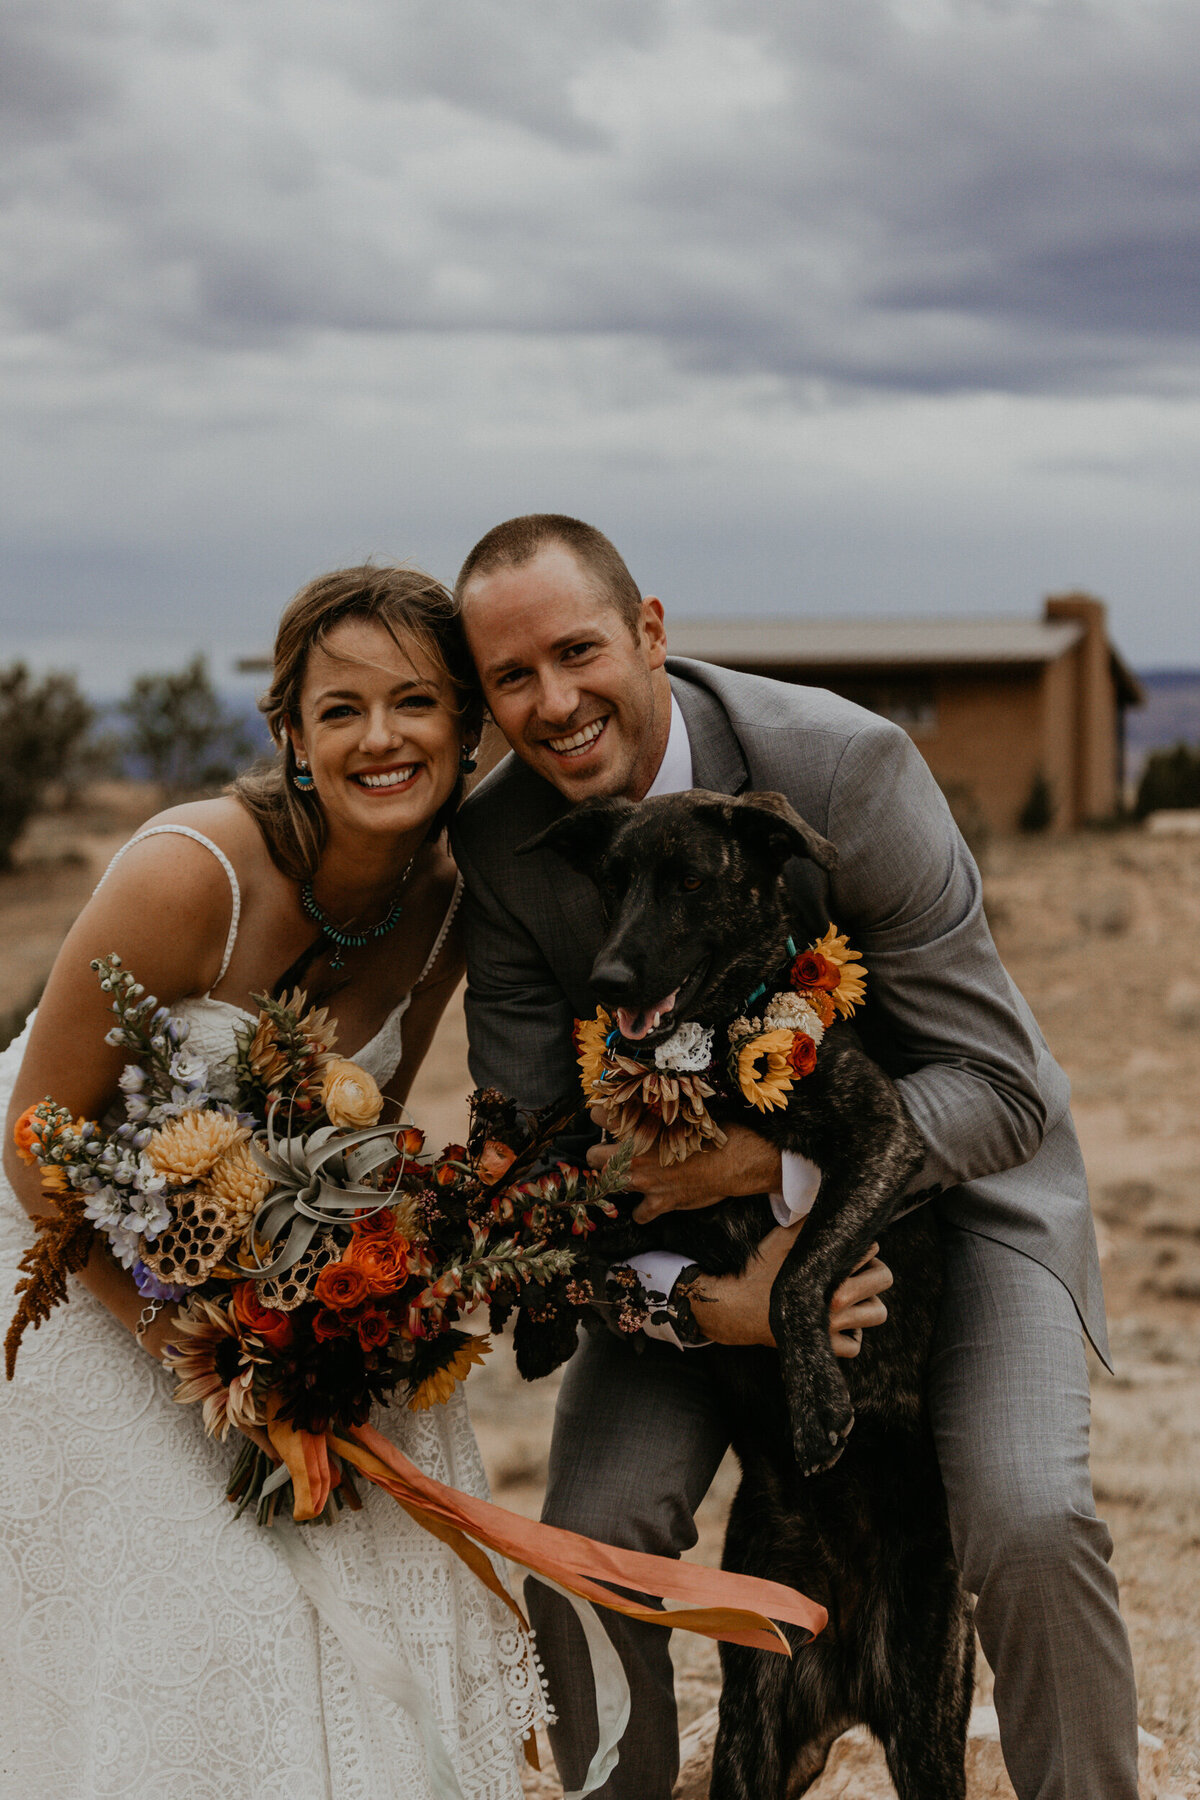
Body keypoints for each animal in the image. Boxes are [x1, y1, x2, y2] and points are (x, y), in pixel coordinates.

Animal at [521, 795, 971, 1800]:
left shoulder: (881, 1143)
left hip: (927, 1725)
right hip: (752, 1732)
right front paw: (537, 1321)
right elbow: (562, 1220)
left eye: (691, 879)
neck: (712, 1060)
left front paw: (816, 1407)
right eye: (614, 880)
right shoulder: (639, 1189)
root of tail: (847, 1663)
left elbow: (797, 1275)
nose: (607, 979)